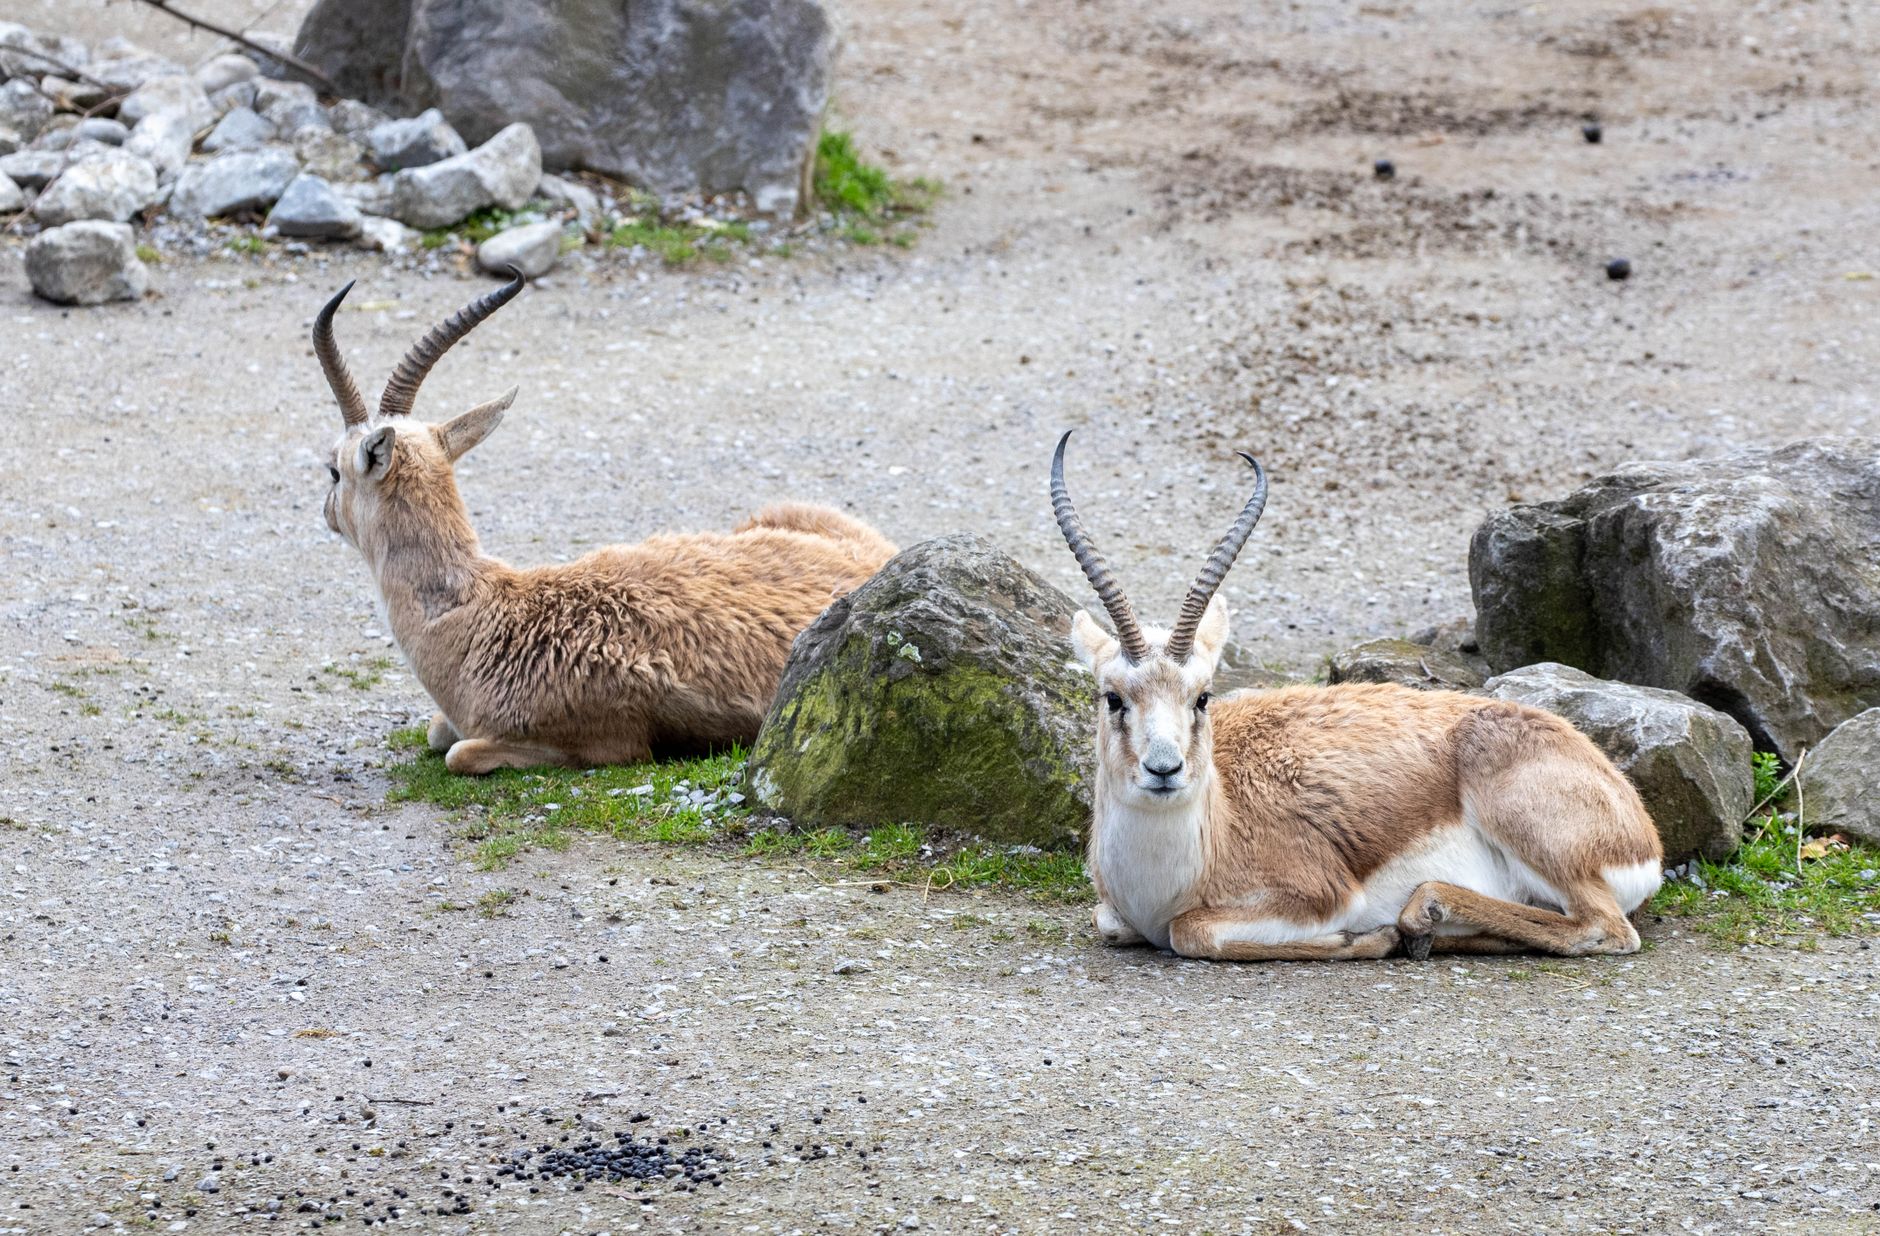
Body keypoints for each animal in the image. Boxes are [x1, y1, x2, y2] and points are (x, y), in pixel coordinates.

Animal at [312, 272, 896, 774]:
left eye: (334, 469)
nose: (325, 513)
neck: (479, 621)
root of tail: (877, 558)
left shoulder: (600, 744)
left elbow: (458, 753)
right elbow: (438, 732)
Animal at [1050, 432, 1663, 960]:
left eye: (1202, 696)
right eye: (1113, 697)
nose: (1164, 769)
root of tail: (1637, 825)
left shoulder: (1318, 896)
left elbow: (1192, 932)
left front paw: (1366, 939)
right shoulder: (1115, 915)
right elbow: (1109, 923)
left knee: (1607, 929)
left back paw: (1418, 922)